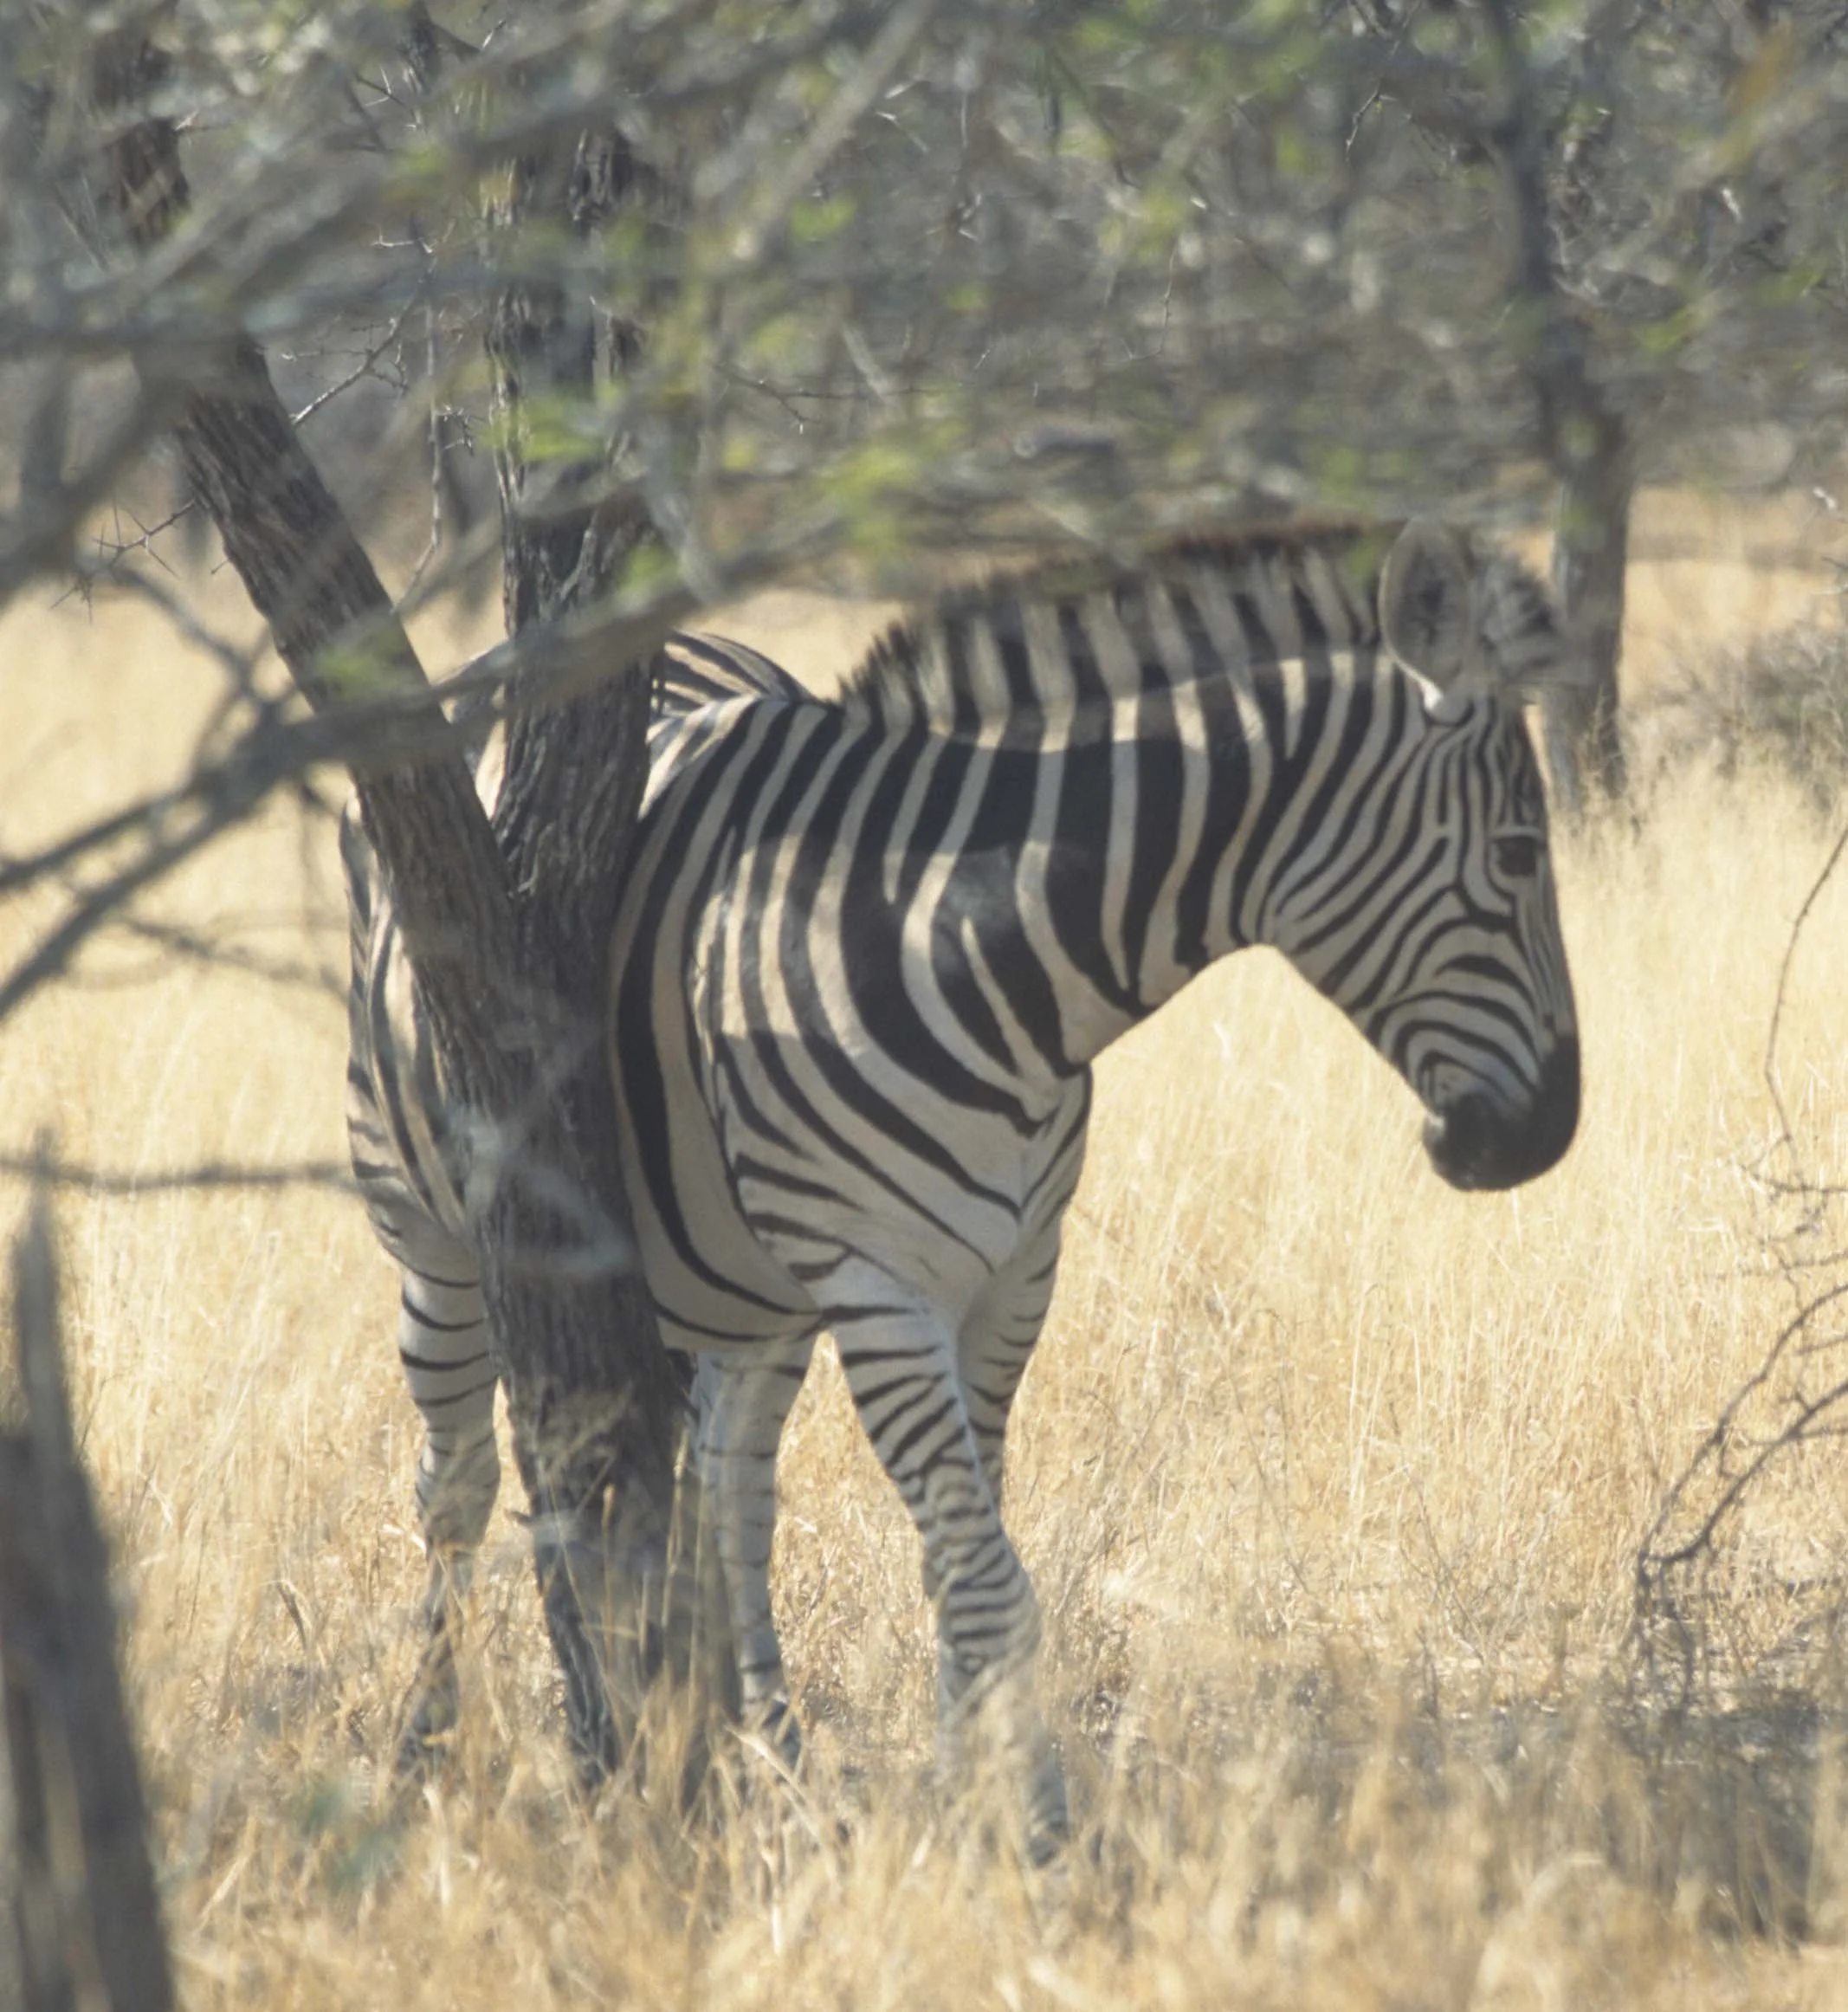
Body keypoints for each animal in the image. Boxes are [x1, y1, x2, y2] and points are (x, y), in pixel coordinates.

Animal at [344, 518, 1582, 1856]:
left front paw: (968, 1795)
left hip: (746, 1283)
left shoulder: (1016, 1273)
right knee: (456, 1483)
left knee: (727, 1489)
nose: (1545, 1135)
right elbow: (988, 1574)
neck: (973, 935)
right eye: (1518, 852)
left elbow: (958, 1556)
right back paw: (420, 1749)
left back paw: (767, 1751)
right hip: (431, 1220)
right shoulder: (880, 1281)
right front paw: (1034, 1836)